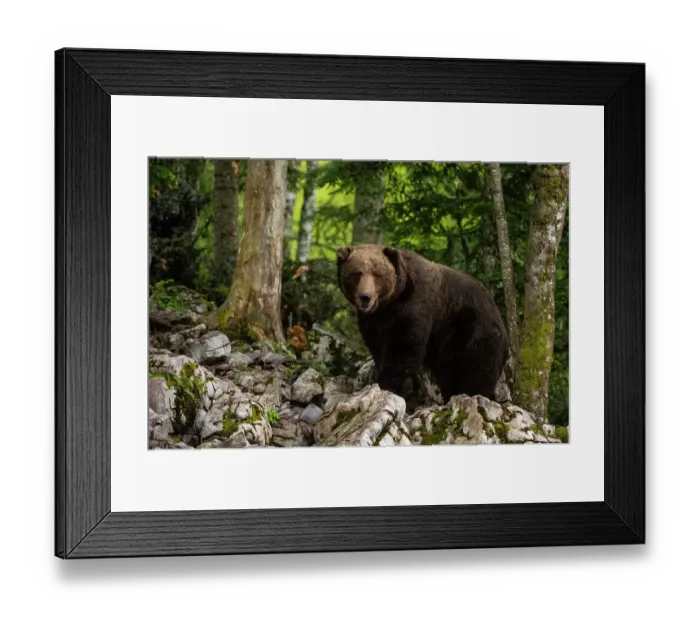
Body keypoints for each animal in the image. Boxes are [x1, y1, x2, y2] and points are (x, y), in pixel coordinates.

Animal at [337, 244, 509, 402]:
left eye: (377, 274)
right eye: (357, 273)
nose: (365, 297)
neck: (388, 304)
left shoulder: (415, 305)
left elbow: (404, 349)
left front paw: (383, 384)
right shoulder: (372, 322)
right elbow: (378, 348)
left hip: (472, 330)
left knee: (468, 368)